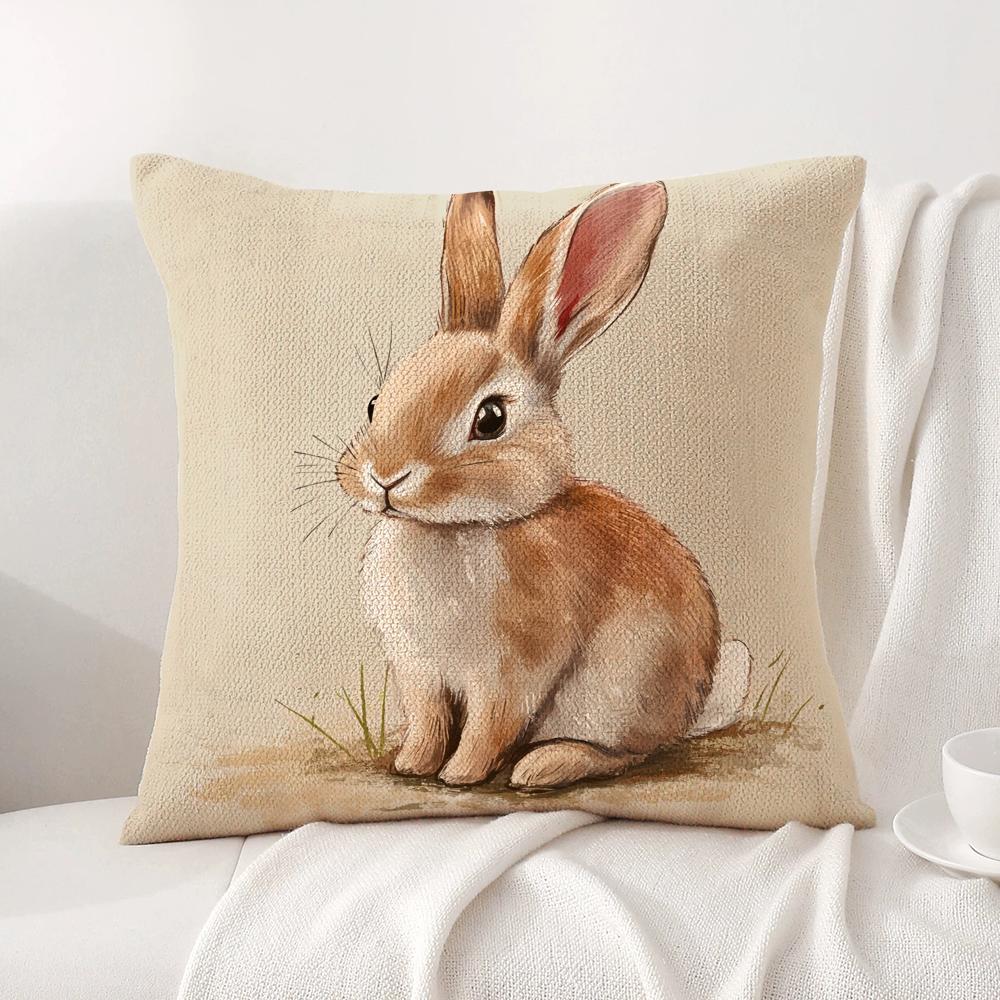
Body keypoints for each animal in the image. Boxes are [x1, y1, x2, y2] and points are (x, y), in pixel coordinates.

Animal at [336, 181, 723, 789]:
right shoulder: (419, 672)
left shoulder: (511, 674)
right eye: (375, 403)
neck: (454, 527)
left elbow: (487, 727)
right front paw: (413, 764)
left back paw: (544, 765)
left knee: (630, 752)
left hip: (620, 693)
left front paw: (460, 775)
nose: (386, 478)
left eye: (491, 418)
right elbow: (428, 721)